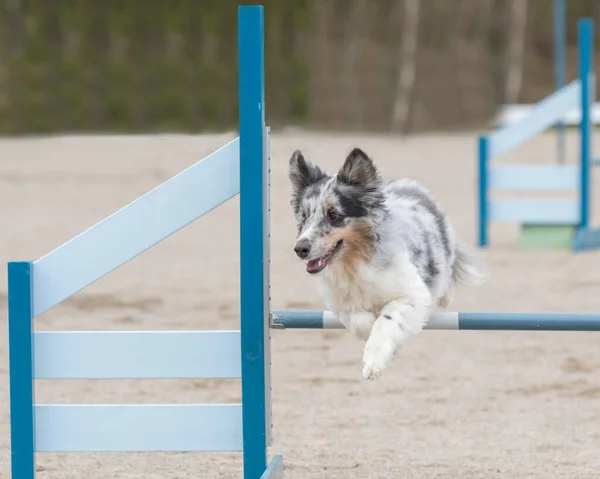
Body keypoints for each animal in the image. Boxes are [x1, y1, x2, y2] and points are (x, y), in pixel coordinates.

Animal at [288, 148, 488, 380]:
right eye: (303, 216)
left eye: (333, 214)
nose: (300, 248)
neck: (355, 263)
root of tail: (408, 182)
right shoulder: (341, 303)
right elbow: (361, 321)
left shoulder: (410, 294)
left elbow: (386, 320)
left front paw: (373, 363)